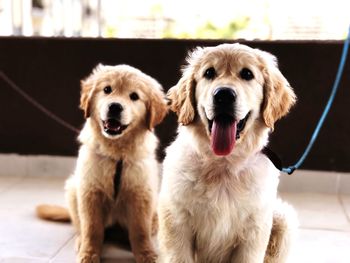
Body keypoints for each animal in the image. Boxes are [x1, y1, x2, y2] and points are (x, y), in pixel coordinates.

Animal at [37, 64, 167, 263]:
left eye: (134, 96)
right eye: (107, 89)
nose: (114, 106)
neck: (117, 153)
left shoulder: (141, 193)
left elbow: (140, 230)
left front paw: (146, 254)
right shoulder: (90, 191)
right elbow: (92, 229)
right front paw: (89, 253)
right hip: (73, 187)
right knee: (81, 226)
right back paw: (81, 241)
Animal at [159, 43, 298, 263]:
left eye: (247, 74)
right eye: (209, 73)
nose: (223, 95)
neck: (223, 163)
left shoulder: (253, 232)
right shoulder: (176, 222)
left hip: (284, 218)